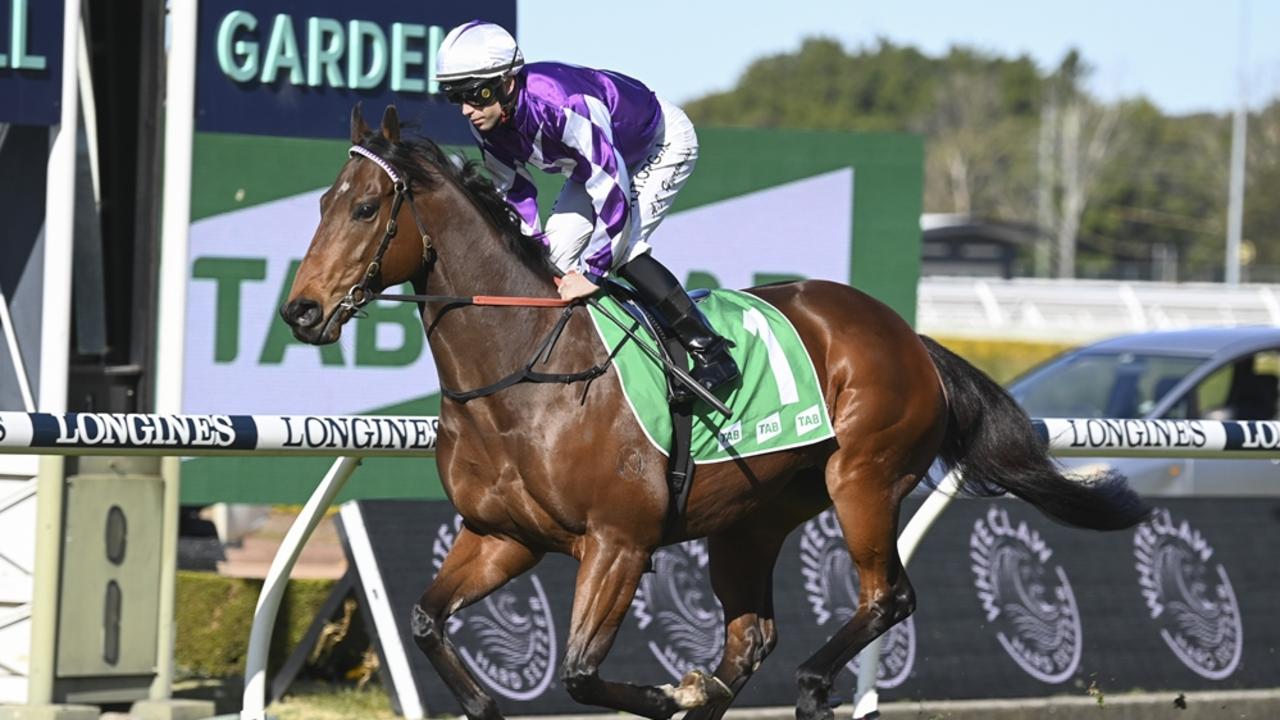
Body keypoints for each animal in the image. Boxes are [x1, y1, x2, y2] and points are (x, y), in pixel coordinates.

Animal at [282, 105, 1152, 717]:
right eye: (320, 202)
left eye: (365, 209)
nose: (301, 310)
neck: (523, 374)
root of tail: (908, 334)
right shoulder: (503, 535)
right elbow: (426, 621)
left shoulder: (619, 542)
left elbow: (582, 673)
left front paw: (679, 691)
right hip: (752, 518)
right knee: (753, 635)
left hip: (864, 478)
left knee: (886, 598)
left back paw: (806, 682)